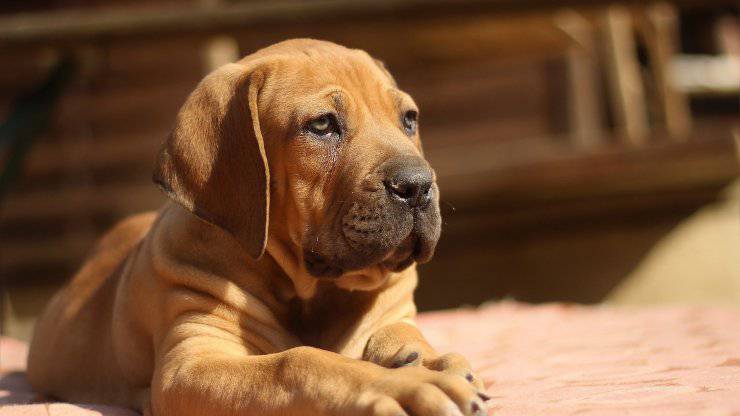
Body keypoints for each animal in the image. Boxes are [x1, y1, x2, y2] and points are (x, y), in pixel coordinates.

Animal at [28, 39, 488, 416]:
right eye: (322, 125)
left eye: (409, 119)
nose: (418, 186)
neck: (312, 292)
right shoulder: (191, 364)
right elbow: (301, 362)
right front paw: (406, 385)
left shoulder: (393, 310)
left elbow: (401, 333)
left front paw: (430, 361)